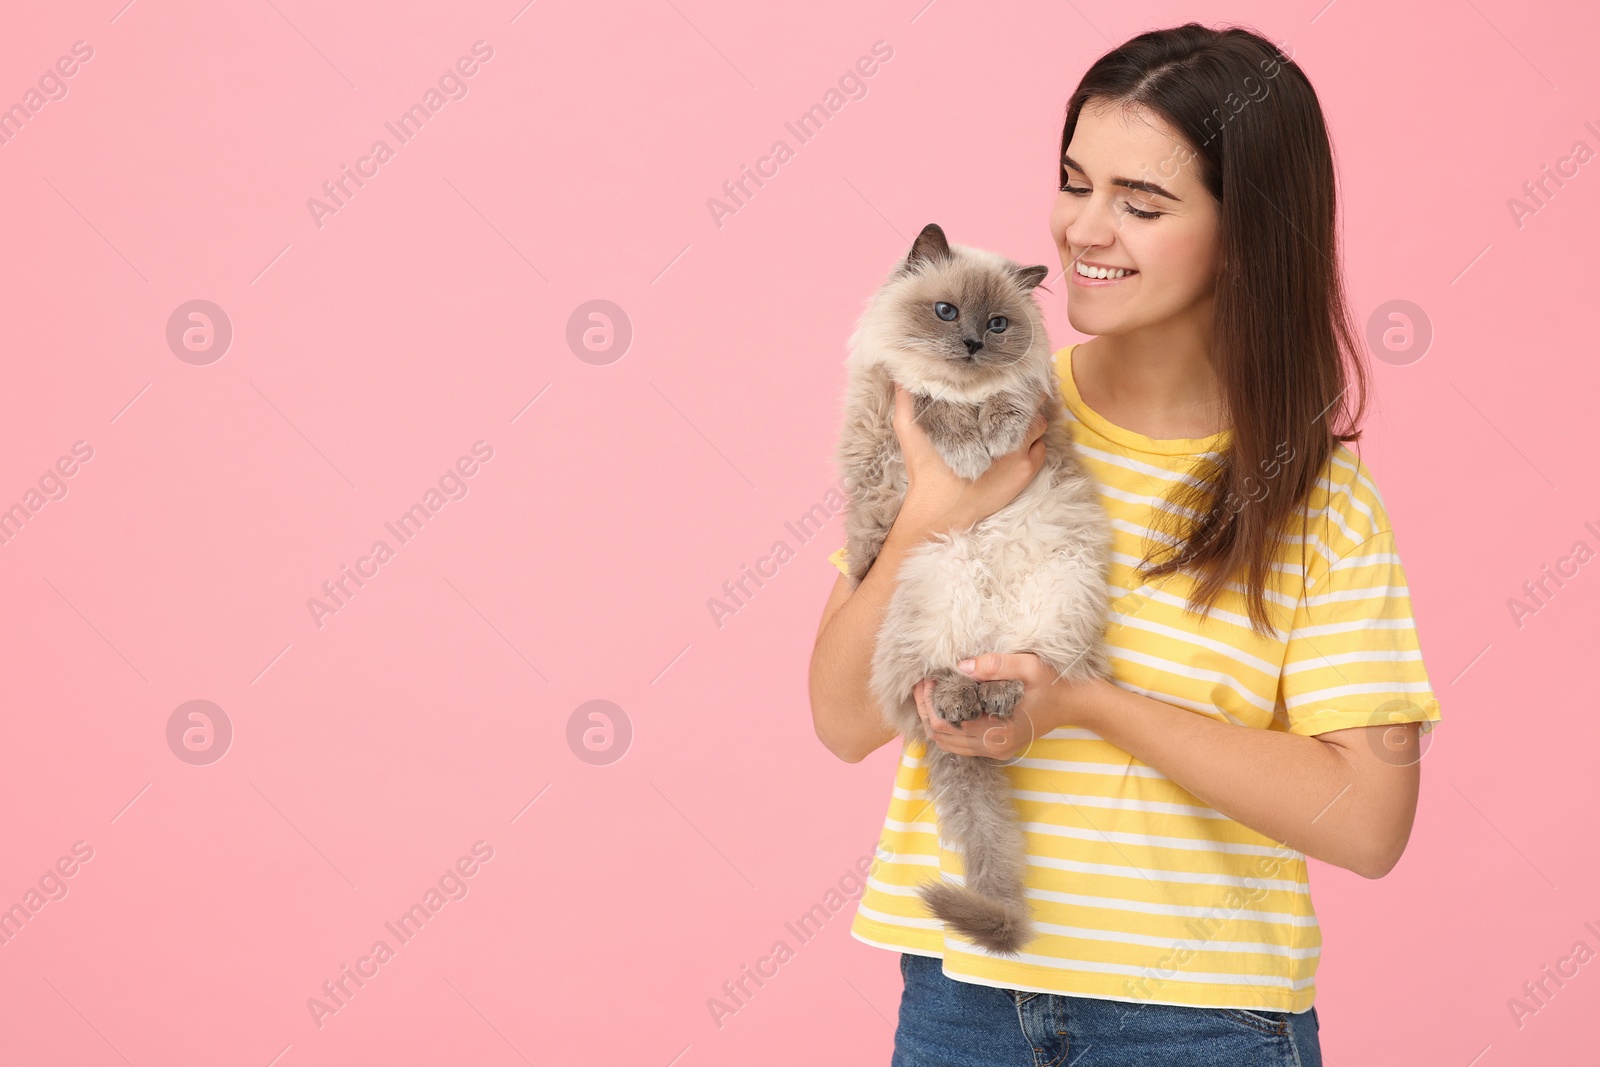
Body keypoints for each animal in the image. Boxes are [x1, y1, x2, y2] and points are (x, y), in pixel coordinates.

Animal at [832, 220, 1107, 953]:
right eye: (946, 312)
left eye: (999, 323)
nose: (974, 345)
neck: (965, 390)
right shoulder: (891, 407)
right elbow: (932, 406)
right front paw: (967, 449)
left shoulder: (1033, 402)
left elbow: (1013, 402)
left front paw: (992, 432)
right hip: (938, 576)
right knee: (933, 678)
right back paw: (961, 699)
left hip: (1055, 588)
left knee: (1012, 663)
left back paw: (997, 692)